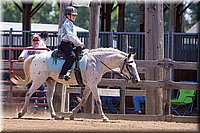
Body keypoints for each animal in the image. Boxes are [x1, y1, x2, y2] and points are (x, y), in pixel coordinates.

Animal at [10, 47, 141, 121]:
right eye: (130, 65)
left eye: (135, 64)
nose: (137, 80)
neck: (97, 61)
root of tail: (36, 56)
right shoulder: (93, 84)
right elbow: (98, 100)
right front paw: (104, 117)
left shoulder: (89, 85)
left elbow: (83, 100)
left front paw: (72, 115)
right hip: (38, 80)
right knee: (29, 93)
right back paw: (21, 113)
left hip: (50, 81)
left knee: (49, 97)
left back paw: (55, 116)